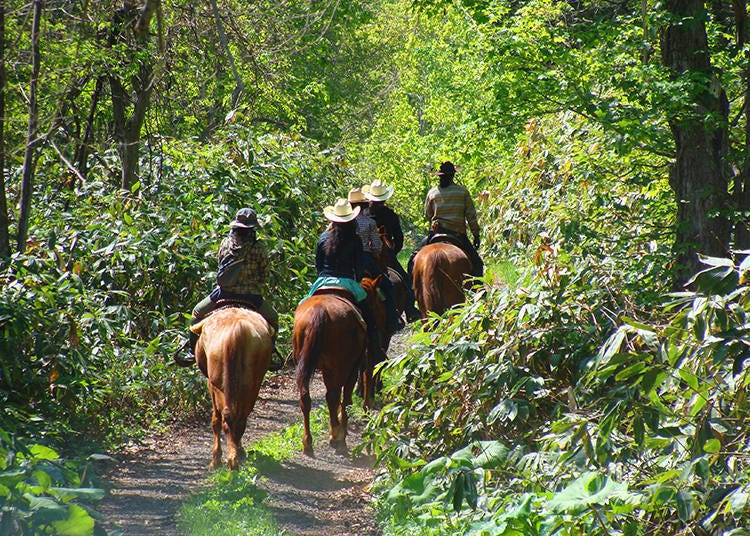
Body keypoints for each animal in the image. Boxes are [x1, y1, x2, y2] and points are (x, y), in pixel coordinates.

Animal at [192, 306, 274, 468]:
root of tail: (238, 330)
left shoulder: (211, 384)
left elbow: (215, 420)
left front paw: (216, 458)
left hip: (220, 385)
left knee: (226, 416)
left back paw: (228, 460)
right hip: (251, 384)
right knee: (241, 417)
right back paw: (235, 455)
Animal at [290, 278, 378, 454]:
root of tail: (319, 311)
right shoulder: (352, 368)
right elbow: (346, 400)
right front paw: (338, 433)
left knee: (306, 397)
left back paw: (307, 442)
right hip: (339, 365)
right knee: (334, 396)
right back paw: (339, 439)